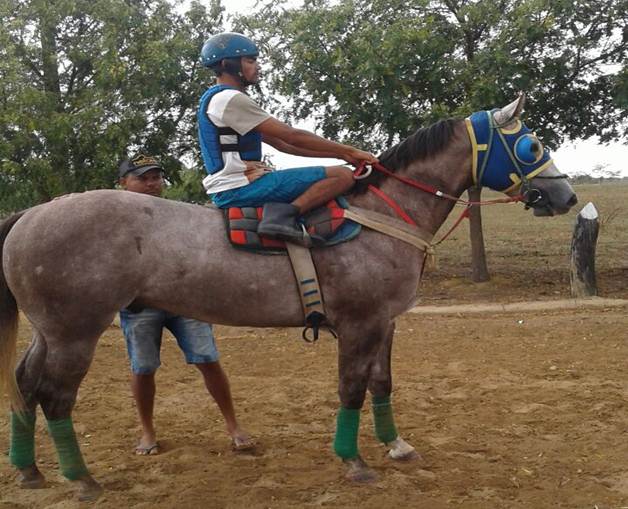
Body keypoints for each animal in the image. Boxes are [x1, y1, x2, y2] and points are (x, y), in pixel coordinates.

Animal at [1, 93, 580, 498]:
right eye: (530, 145)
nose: (566, 195)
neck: (382, 212)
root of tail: (31, 213)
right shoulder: (361, 324)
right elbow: (350, 389)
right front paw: (353, 461)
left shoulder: (386, 323)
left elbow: (381, 384)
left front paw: (395, 445)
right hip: (75, 333)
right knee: (54, 396)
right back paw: (81, 479)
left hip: (50, 333)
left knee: (25, 384)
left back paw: (29, 469)